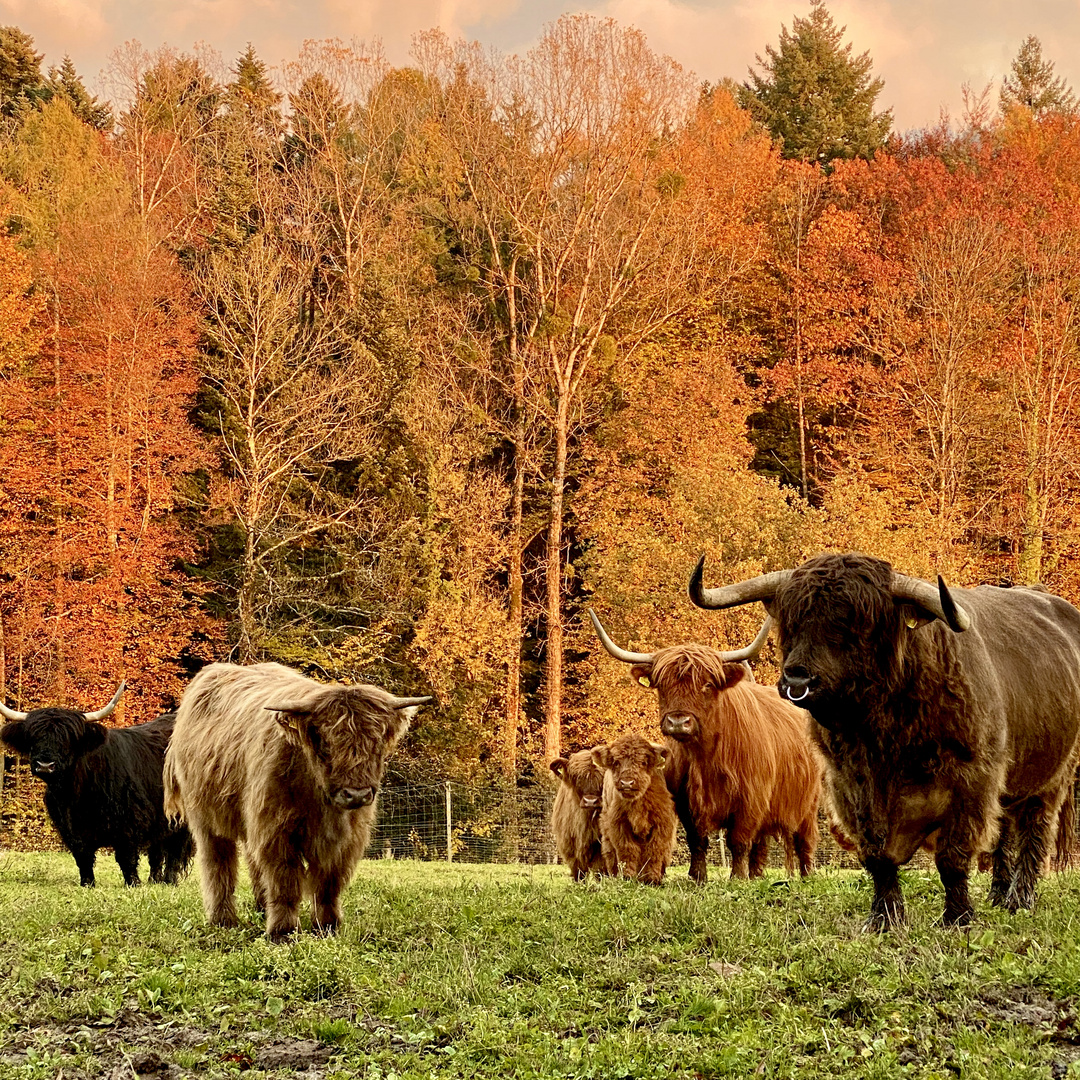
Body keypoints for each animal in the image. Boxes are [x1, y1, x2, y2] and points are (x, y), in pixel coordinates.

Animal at [1, 682, 194, 885]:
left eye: (69, 738)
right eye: (33, 737)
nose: (45, 765)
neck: (76, 794)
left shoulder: (128, 824)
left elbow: (126, 858)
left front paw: (133, 883)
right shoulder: (71, 830)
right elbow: (83, 858)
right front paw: (87, 883)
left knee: (174, 851)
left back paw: (169, 881)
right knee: (156, 851)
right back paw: (154, 880)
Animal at [162, 656, 427, 937]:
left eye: (377, 743)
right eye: (323, 742)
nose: (356, 794)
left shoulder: (348, 837)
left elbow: (329, 883)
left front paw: (328, 926)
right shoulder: (275, 829)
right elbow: (284, 880)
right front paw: (283, 931)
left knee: (253, 862)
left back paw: (261, 908)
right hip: (206, 817)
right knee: (218, 863)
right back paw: (223, 920)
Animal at [591, 613, 816, 881]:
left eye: (707, 685)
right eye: (662, 685)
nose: (678, 722)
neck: (705, 756)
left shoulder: (751, 799)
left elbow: (738, 841)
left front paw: (737, 877)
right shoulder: (685, 800)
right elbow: (697, 840)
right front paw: (698, 876)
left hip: (809, 804)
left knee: (804, 840)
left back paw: (806, 875)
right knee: (762, 843)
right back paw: (757, 875)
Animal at [686, 548, 1080, 928]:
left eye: (856, 624)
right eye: (793, 622)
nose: (797, 679)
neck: (886, 737)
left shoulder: (973, 778)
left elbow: (953, 856)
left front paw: (957, 917)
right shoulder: (849, 782)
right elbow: (876, 854)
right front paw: (884, 917)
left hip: (1053, 777)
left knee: (1034, 832)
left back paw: (1020, 899)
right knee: (1005, 833)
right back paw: (999, 895)